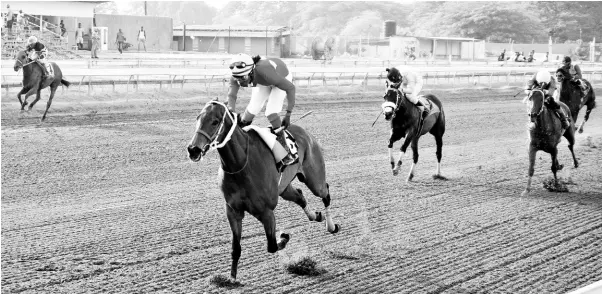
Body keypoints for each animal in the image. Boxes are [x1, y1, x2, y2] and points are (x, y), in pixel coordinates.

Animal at [186, 100, 338, 280]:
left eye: (215, 122)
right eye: (198, 118)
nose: (193, 149)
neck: (240, 165)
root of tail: (305, 132)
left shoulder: (266, 211)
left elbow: (271, 245)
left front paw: (284, 237)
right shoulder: (233, 211)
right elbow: (236, 248)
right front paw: (232, 278)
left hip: (314, 179)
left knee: (325, 193)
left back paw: (331, 226)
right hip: (284, 188)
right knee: (300, 196)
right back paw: (315, 215)